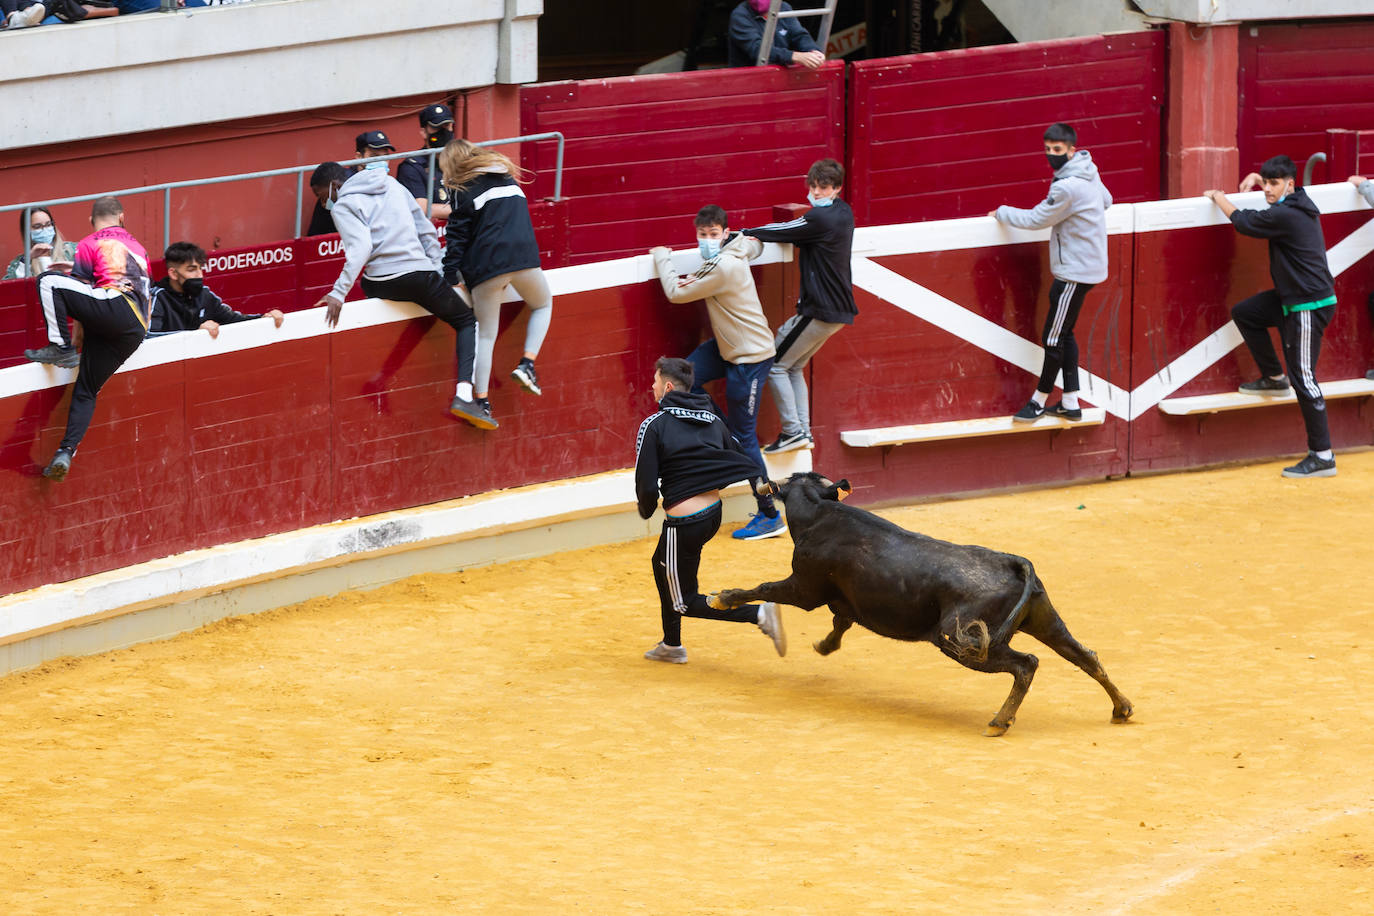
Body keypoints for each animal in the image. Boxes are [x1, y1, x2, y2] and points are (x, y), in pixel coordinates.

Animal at [714, 472, 1132, 736]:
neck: (821, 513)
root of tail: (1012, 562)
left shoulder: (802, 588)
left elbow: (765, 587)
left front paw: (722, 597)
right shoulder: (844, 602)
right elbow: (840, 622)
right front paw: (824, 646)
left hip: (959, 640)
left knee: (1026, 664)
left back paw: (998, 723)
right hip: (1044, 620)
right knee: (1085, 656)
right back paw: (1121, 708)